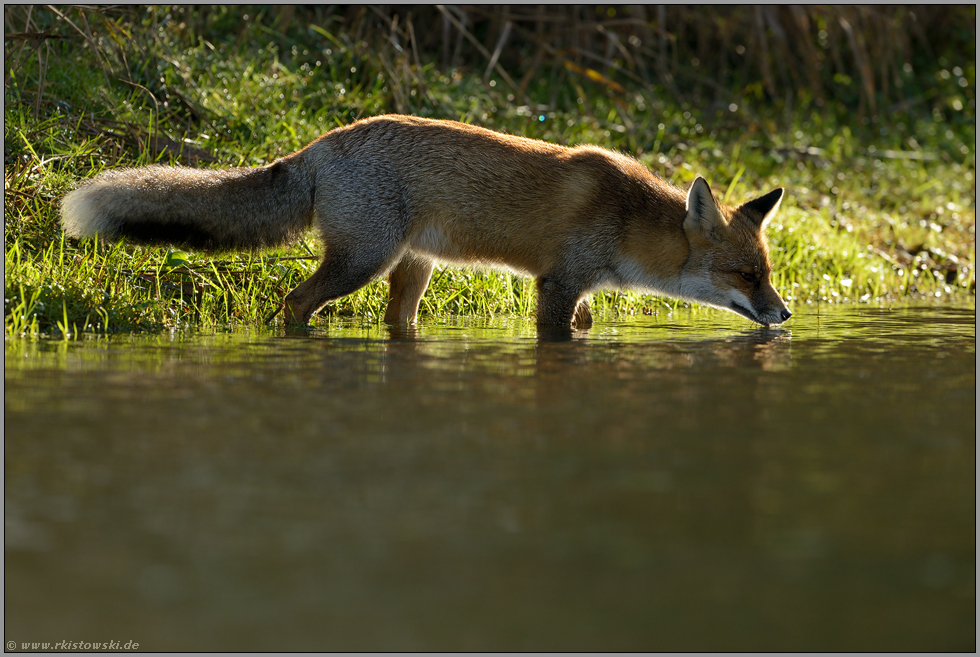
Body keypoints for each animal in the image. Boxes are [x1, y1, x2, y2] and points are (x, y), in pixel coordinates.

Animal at [60, 114, 792, 330]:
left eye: (767, 274)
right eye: (744, 275)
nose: (784, 314)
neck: (626, 221)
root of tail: (321, 143)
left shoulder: (576, 289)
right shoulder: (557, 285)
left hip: (413, 269)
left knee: (397, 322)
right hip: (363, 261)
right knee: (294, 303)